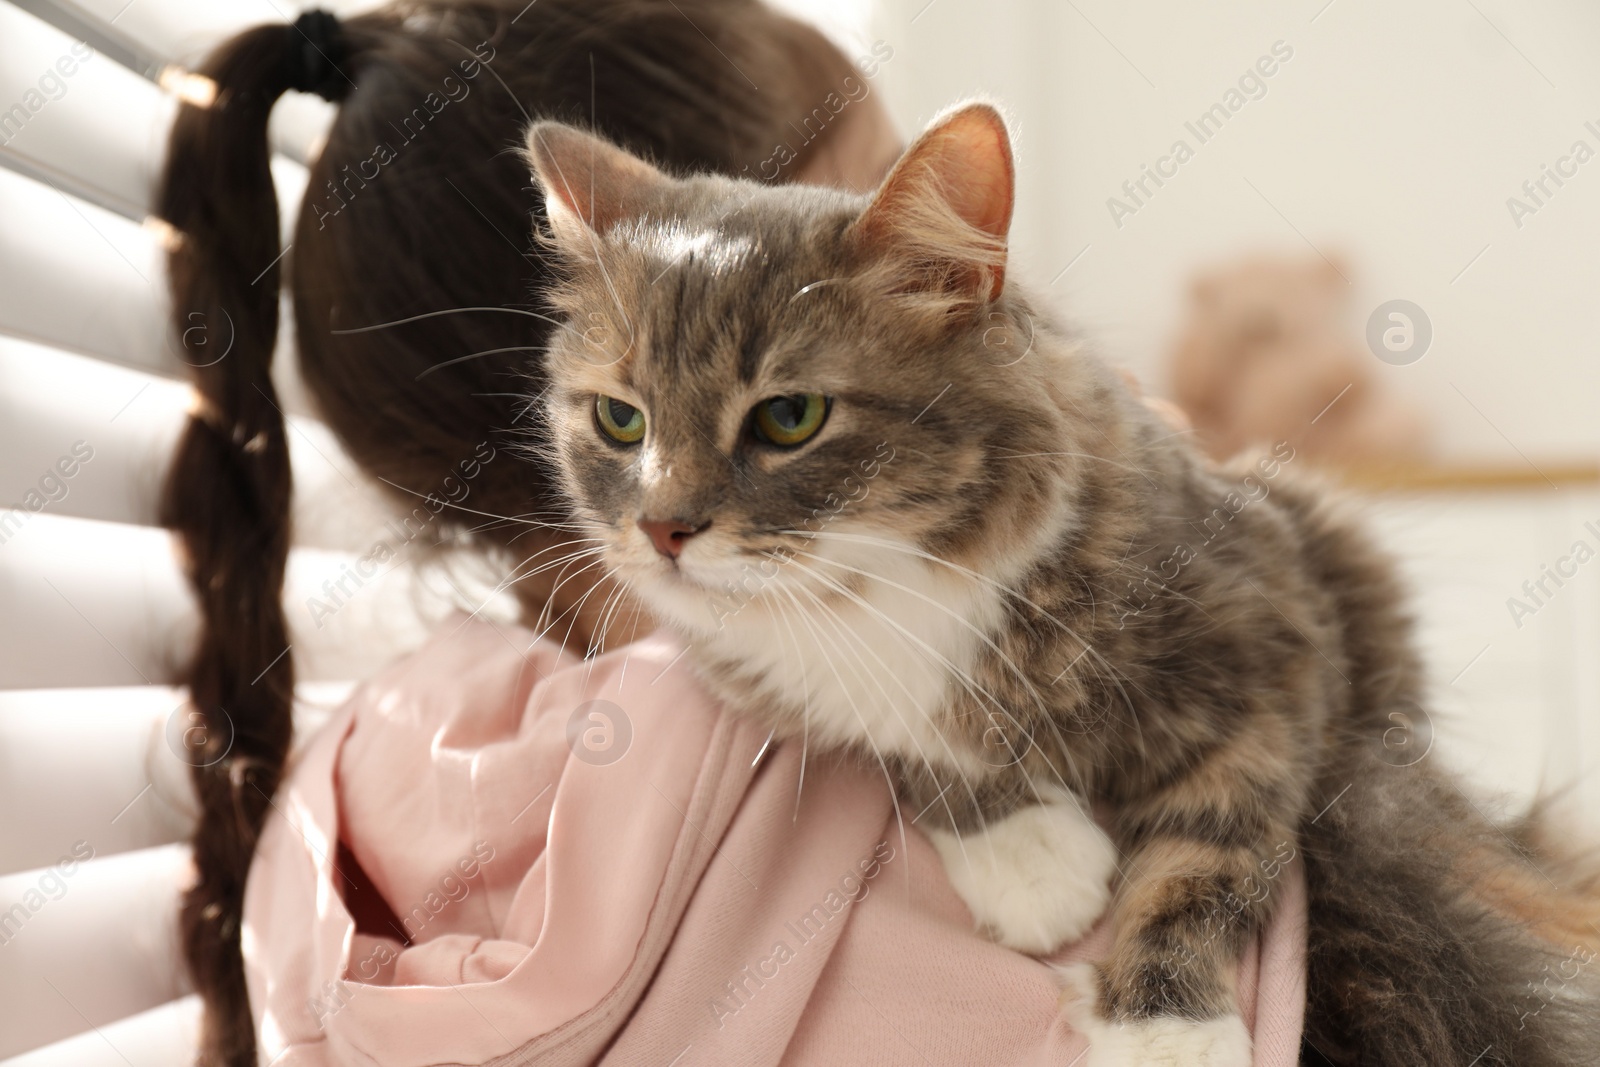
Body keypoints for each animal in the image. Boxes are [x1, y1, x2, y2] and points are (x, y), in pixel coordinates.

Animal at [521, 102, 1600, 1067]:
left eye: (789, 417)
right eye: (620, 419)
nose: (663, 529)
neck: (887, 587)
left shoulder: (1275, 653)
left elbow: (1211, 857)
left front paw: (1167, 1027)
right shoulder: (765, 680)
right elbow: (906, 752)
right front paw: (1031, 857)